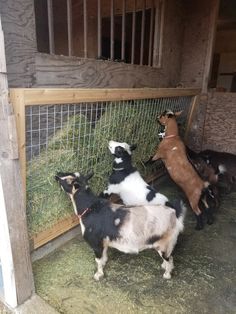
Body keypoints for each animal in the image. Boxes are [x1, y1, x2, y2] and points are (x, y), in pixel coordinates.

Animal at [55, 172, 186, 282]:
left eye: (68, 181)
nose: (56, 175)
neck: (90, 208)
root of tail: (174, 213)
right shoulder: (104, 242)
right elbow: (104, 257)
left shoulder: (95, 243)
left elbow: (98, 260)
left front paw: (98, 275)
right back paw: (163, 266)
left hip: (164, 243)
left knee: (170, 259)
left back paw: (167, 275)